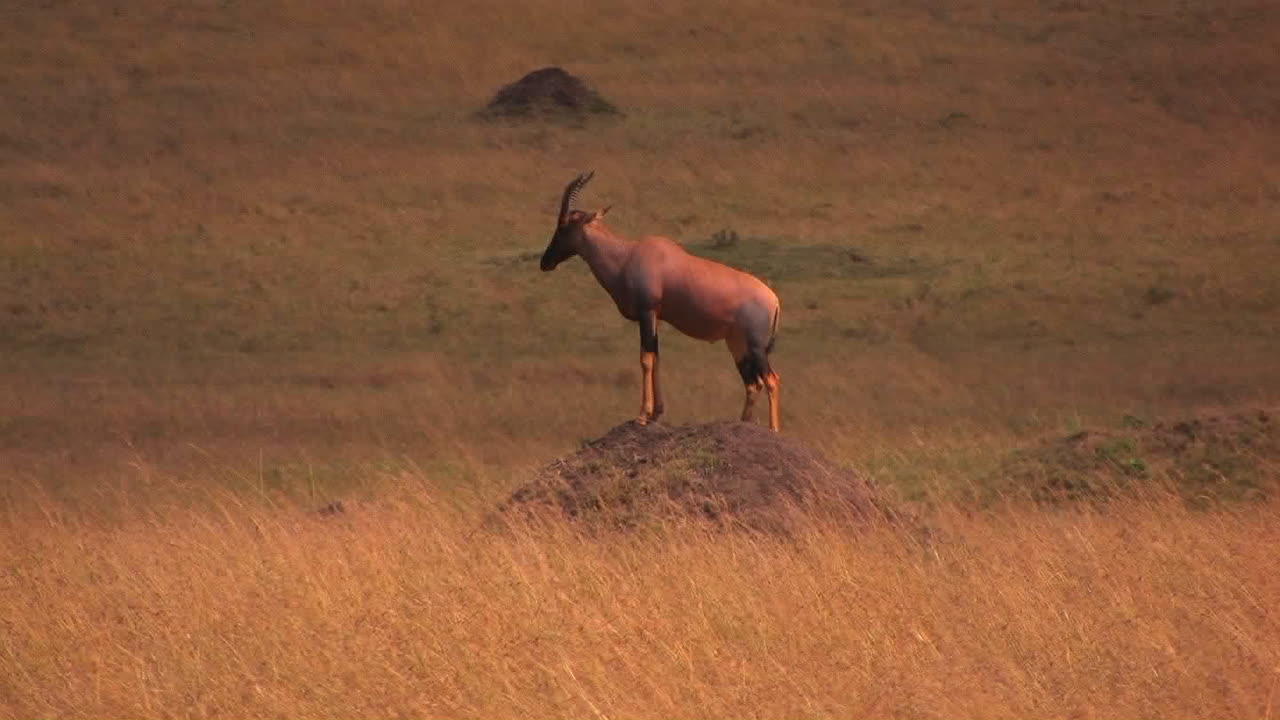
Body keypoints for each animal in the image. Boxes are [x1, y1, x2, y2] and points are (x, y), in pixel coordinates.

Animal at [539, 172, 782, 431]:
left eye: (563, 226)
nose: (545, 262)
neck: (628, 255)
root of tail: (774, 300)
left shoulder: (647, 312)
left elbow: (645, 359)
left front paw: (642, 415)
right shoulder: (655, 316)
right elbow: (656, 358)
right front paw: (656, 413)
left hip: (756, 346)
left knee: (771, 379)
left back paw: (773, 429)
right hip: (736, 343)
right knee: (752, 383)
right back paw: (743, 422)